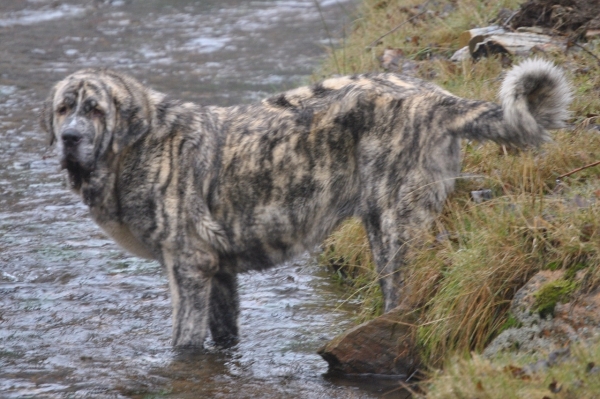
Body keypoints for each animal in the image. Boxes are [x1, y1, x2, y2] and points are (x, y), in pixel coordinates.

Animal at [41, 58, 572, 346]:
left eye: (95, 110)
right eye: (64, 108)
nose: (69, 137)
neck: (139, 146)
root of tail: (436, 96)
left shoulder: (188, 266)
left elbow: (184, 341)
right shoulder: (218, 271)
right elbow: (223, 334)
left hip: (396, 226)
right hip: (387, 224)